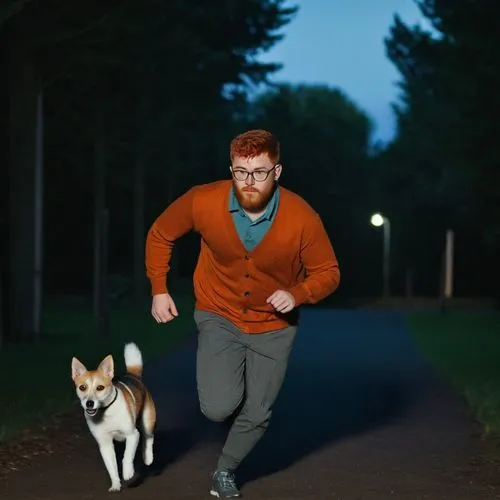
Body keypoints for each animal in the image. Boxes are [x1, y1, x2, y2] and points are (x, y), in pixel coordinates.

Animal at [71, 342, 155, 490]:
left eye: (100, 387)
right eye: (82, 387)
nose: (89, 403)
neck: (106, 412)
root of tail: (133, 376)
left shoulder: (132, 435)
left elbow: (127, 456)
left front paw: (127, 472)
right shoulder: (105, 445)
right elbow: (111, 467)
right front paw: (115, 484)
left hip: (147, 421)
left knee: (149, 437)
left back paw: (148, 457)